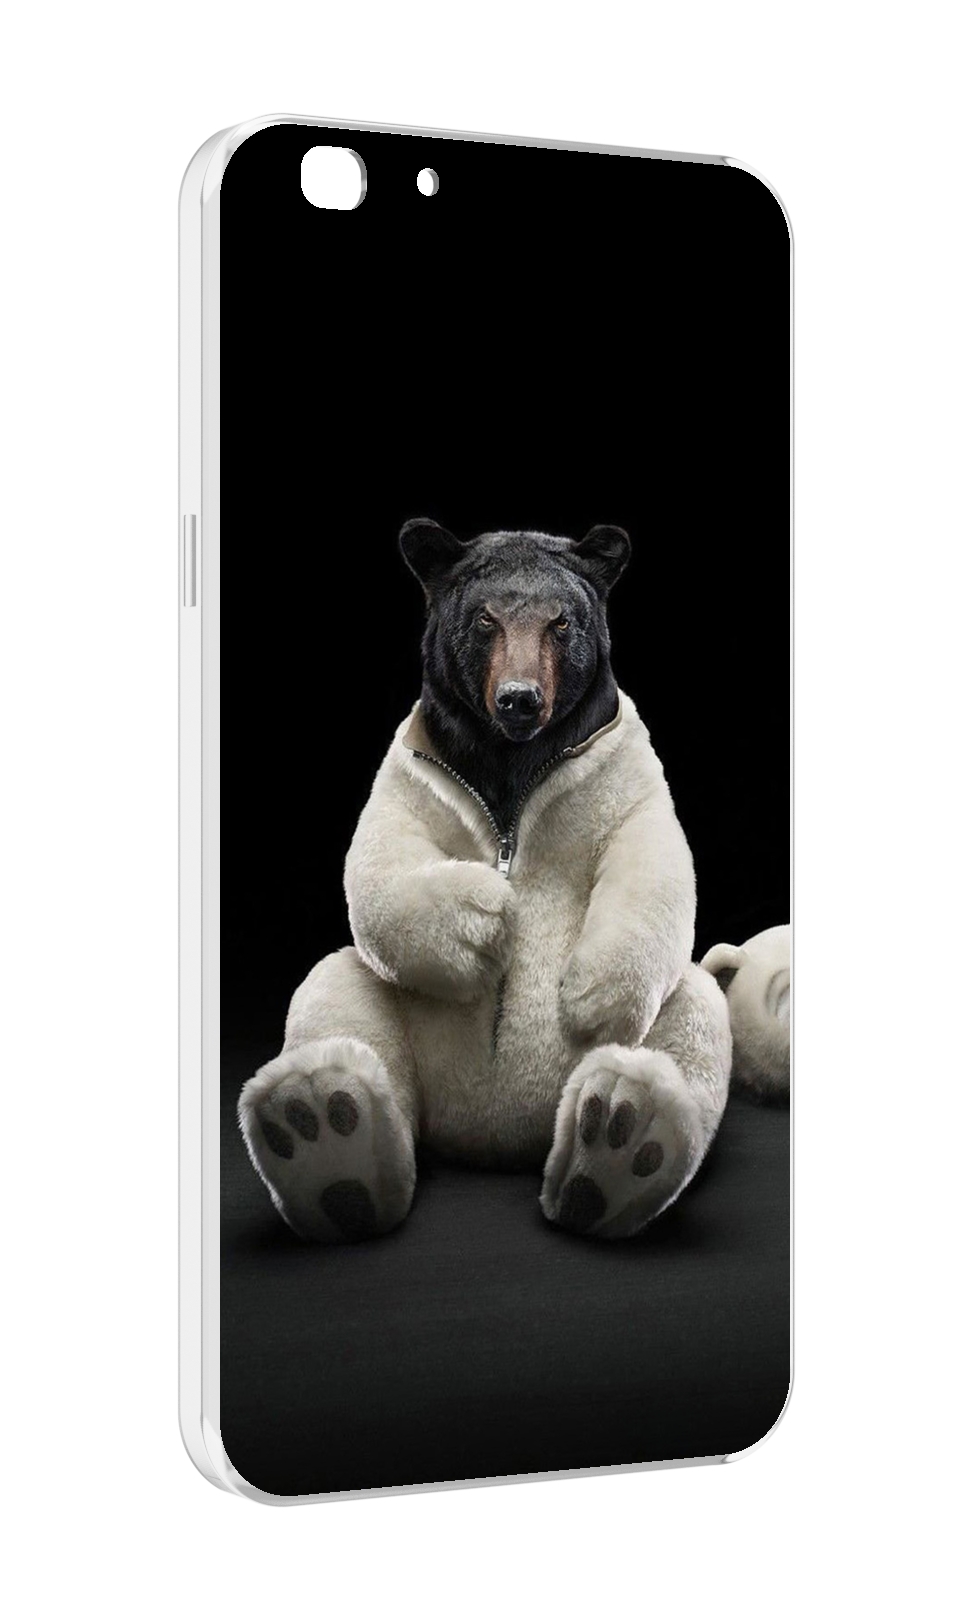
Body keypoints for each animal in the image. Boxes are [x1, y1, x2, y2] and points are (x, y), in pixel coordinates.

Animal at [239, 520, 733, 1242]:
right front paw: (485, 918)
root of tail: (493, 1140)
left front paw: (589, 996)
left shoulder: (621, 769)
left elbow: (650, 854)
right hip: (393, 1026)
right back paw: (324, 1135)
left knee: (690, 1014)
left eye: (561, 621)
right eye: (483, 619)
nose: (520, 699)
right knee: (337, 992)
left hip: (666, 1019)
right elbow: (381, 858)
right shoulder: (414, 772)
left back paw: (619, 1141)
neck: (512, 759)